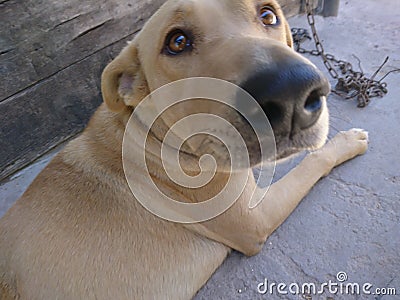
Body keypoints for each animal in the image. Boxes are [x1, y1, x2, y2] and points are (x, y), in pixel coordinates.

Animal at [0, 0, 368, 298]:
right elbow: (312, 161)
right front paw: (346, 142)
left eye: (268, 15)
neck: (157, 134)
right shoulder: (256, 219)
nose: (291, 92)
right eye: (177, 42)